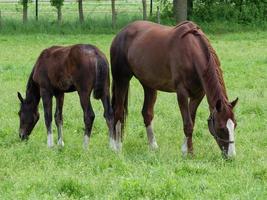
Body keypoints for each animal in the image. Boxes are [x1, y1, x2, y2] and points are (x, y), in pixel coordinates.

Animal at [110, 20, 240, 158]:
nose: (231, 156)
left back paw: (153, 146)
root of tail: (121, 33)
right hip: (122, 79)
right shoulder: (181, 93)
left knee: (147, 113)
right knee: (118, 112)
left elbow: (191, 121)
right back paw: (117, 147)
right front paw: (189, 153)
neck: (191, 52)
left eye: (235, 125)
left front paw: (187, 150)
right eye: (221, 127)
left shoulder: (198, 95)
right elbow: (188, 124)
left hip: (149, 85)